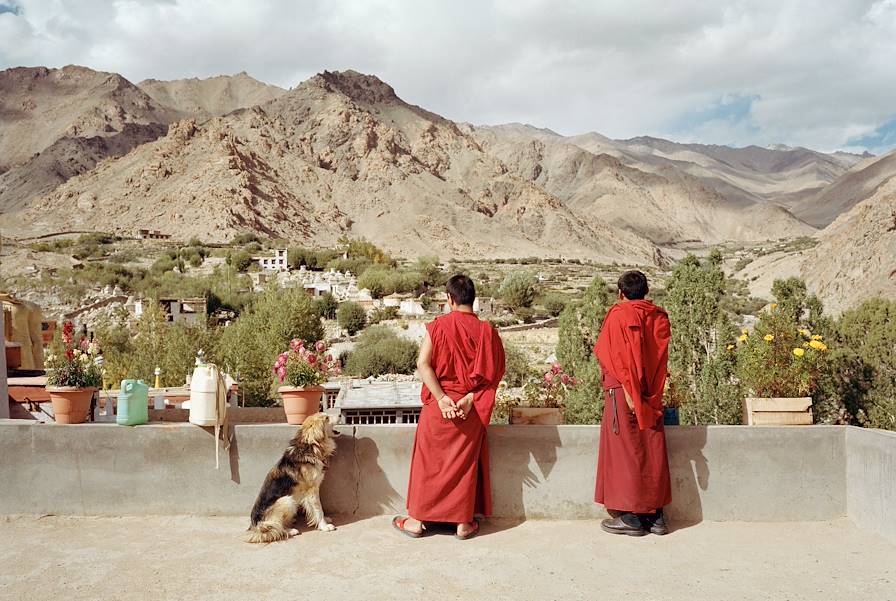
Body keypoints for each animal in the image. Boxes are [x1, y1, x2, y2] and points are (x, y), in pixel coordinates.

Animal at [242, 410, 340, 540]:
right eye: (326, 418)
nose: (340, 414)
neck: (312, 447)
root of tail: (255, 526)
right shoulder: (311, 490)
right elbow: (319, 509)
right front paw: (324, 526)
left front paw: (325, 520)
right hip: (287, 500)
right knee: (275, 529)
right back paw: (290, 530)